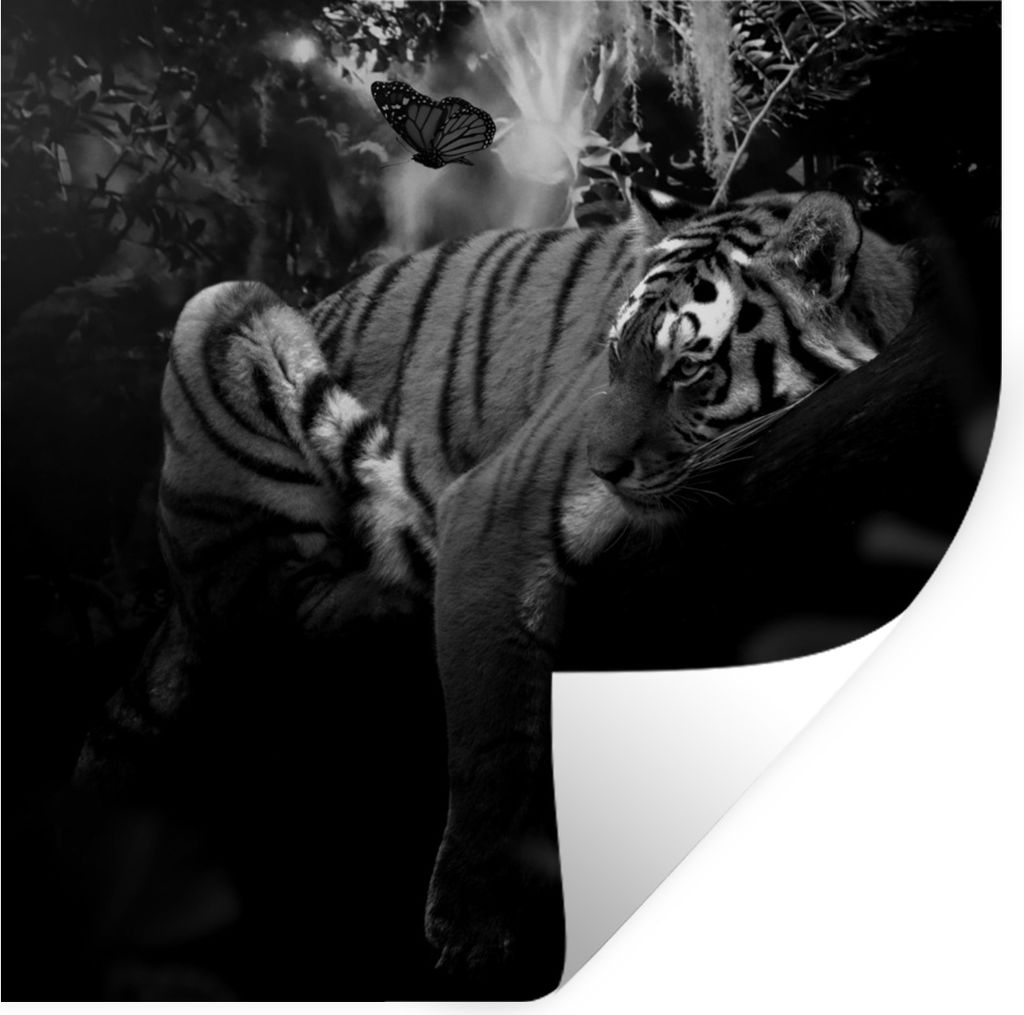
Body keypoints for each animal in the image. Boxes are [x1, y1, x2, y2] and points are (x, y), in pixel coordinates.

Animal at [76, 191, 917, 982]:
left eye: (689, 367)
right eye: (614, 357)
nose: (600, 465)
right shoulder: (494, 510)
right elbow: (491, 737)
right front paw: (473, 924)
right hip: (221, 312)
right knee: (256, 613)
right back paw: (386, 595)